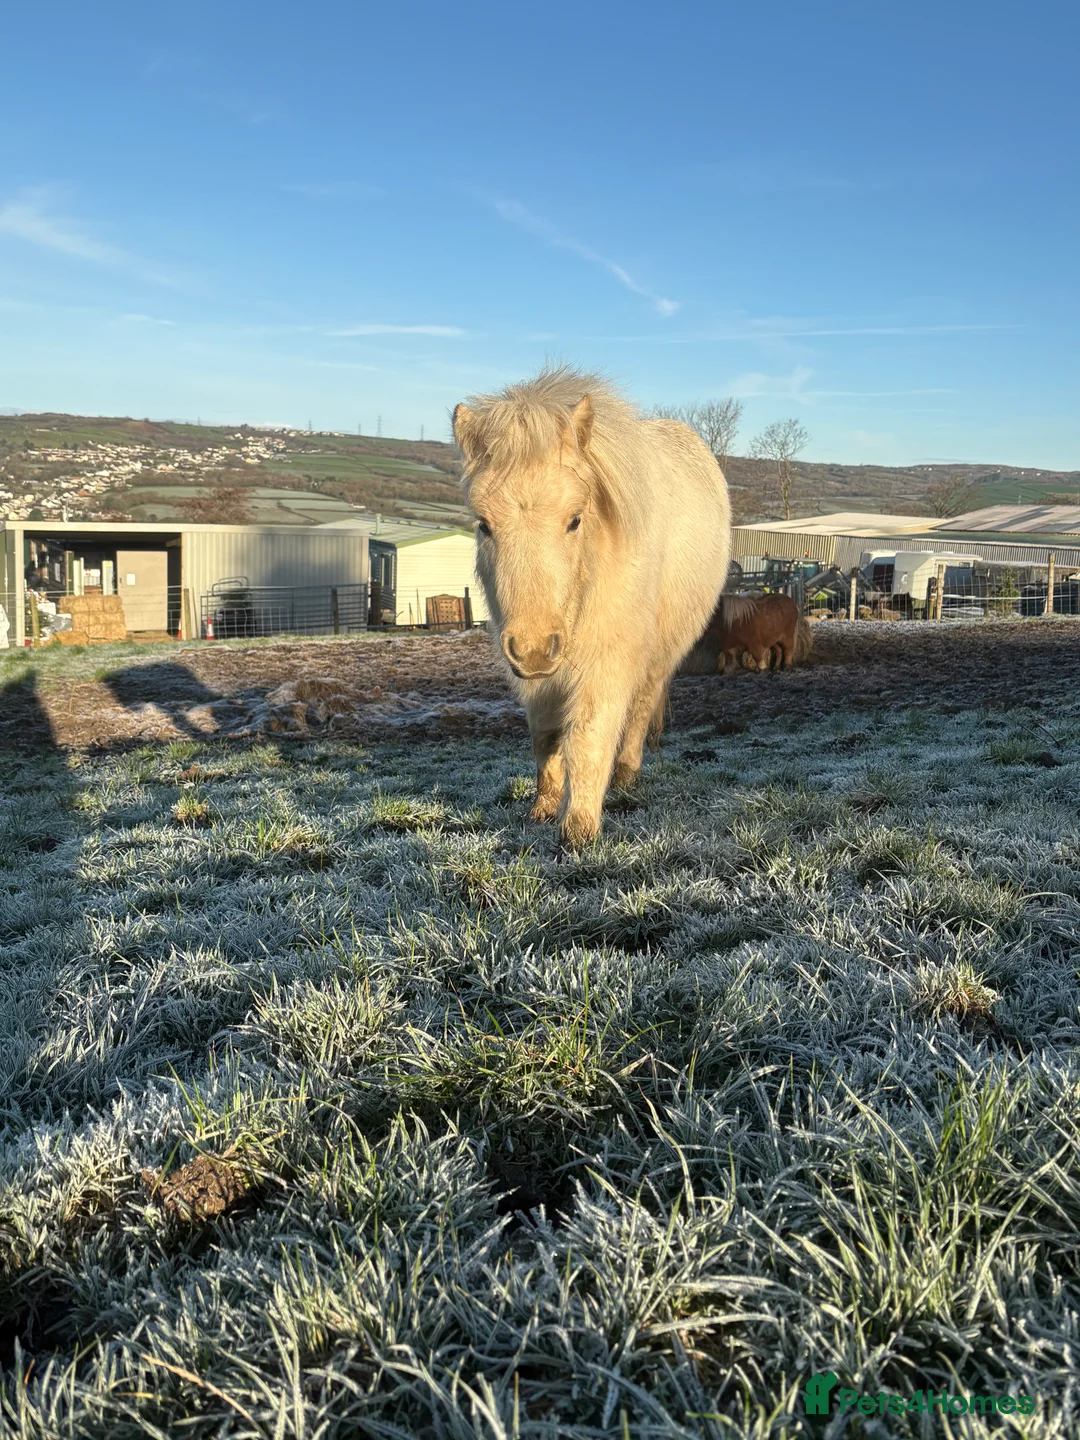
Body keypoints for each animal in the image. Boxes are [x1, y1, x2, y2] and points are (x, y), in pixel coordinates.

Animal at [453, 365, 731, 847]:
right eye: (483, 524)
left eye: (575, 520)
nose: (532, 648)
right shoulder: (538, 677)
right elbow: (546, 737)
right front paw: (545, 807)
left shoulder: (608, 660)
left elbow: (588, 735)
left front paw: (579, 828)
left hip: (659, 654)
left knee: (639, 709)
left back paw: (626, 774)